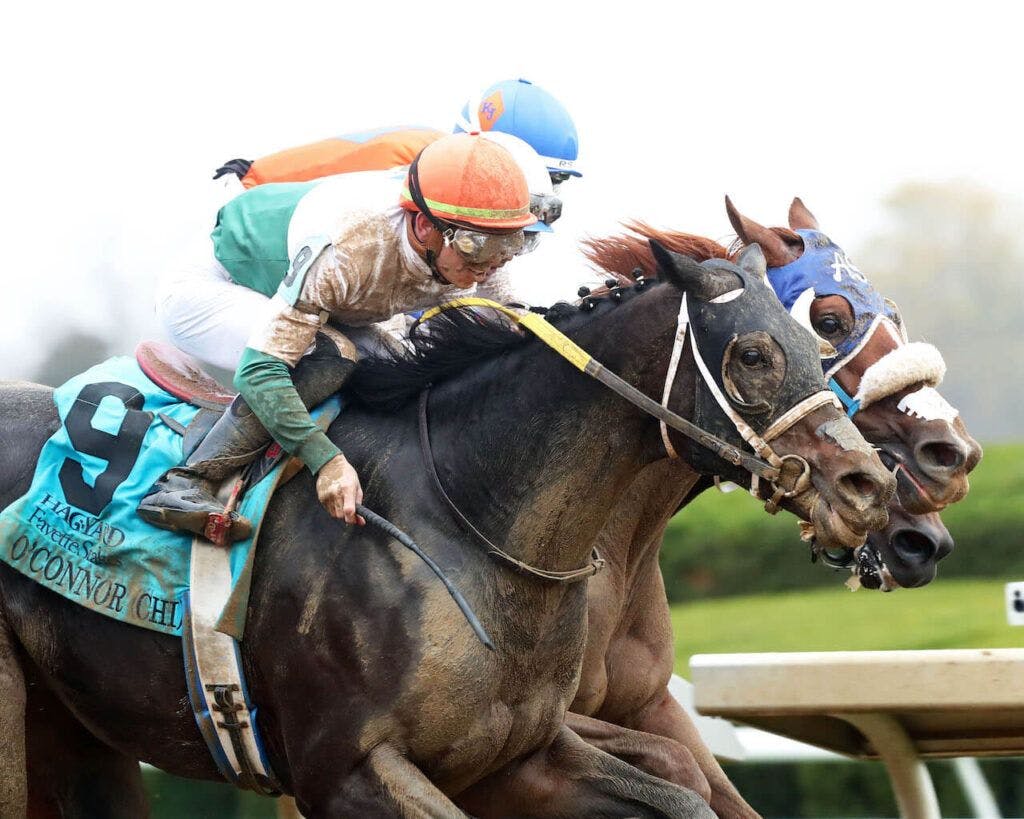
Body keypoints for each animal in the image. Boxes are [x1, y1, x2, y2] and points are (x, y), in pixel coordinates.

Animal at [0, 252, 892, 814]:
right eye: (753, 354)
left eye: (815, 340)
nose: (868, 485)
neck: (470, 515)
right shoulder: (347, 769)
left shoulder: (510, 757)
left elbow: (680, 795)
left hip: (80, 732)